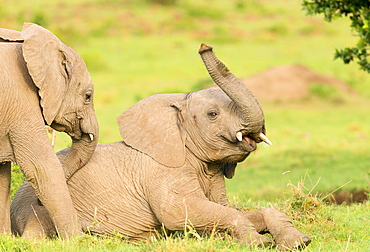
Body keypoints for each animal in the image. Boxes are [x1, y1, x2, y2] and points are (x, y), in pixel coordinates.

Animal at [9, 44, 310, 249]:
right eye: (212, 114)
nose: (204, 46)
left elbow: (230, 209)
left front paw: (299, 242)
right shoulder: (162, 172)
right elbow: (179, 212)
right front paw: (258, 243)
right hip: (33, 208)